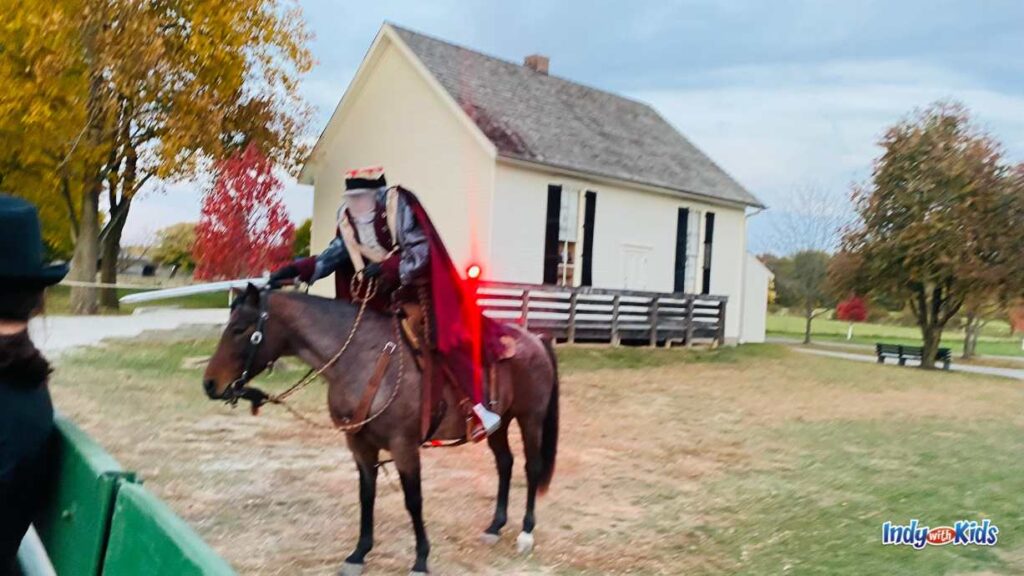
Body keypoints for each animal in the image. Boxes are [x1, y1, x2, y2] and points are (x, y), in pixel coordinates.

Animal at [201, 284, 561, 569]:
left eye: (240, 329)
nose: (210, 384)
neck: (362, 360)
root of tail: (535, 338)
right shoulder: (360, 445)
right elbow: (366, 495)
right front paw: (359, 553)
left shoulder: (404, 446)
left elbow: (413, 500)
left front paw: (421, 559)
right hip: (500, 424)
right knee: (505, 463)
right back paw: (494, 527)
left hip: (530, 418)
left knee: (530, 467)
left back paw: (526, 533)